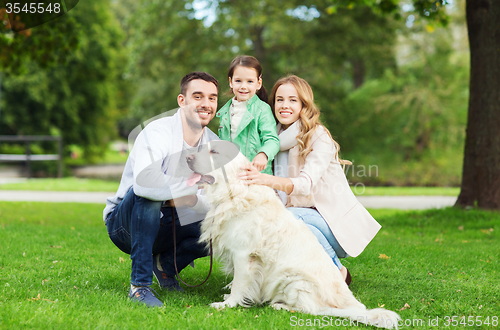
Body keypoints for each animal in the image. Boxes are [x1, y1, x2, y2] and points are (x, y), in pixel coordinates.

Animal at [186, 141, 400, 328]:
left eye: (214, 152)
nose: (187, 157)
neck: (234, 193)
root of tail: (349, 305)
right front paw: (229, 296)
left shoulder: (243, 254)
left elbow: (239, 283)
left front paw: (228, 304)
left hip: (293, 279)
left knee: (313, 310)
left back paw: (280, 305)